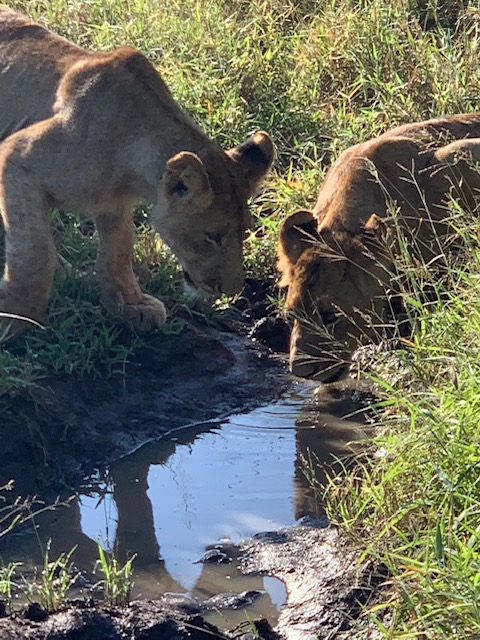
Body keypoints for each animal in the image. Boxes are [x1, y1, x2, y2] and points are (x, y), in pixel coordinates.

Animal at [0, 8, 275, 337]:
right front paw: (14, 317)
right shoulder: (17, 157)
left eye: (244, 231)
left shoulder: (113, 202)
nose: (232, 290)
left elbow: (118, 250)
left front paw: (130, 305)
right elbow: (34, 254)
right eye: (212, 236)